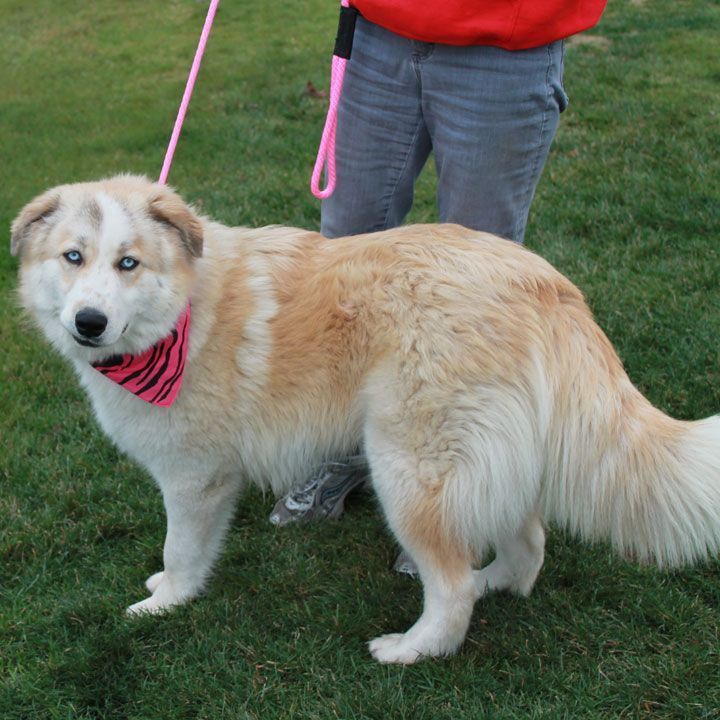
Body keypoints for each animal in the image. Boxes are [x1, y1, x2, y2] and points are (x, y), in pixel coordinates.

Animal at [9, 174, 720, 664]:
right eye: (73, 257)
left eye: (128, 263)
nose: (89, 323)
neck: (186, 310)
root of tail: (543, 281)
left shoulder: (195, 479)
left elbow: (181, 551)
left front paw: (164, 605)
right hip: (489, 458)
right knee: (526, 547)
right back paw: (494, 583)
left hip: (408, 472)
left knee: (452, 589)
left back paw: (412, 649)